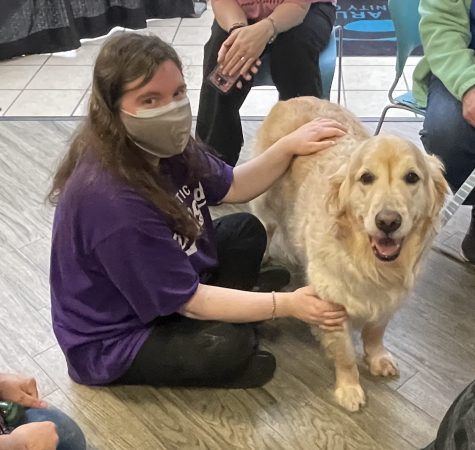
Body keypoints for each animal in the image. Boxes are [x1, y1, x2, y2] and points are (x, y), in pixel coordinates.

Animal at [255, 97, 448, 412]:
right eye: (366, 178)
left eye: (412, 177)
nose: (388, 222)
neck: (367, 262)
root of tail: (290, 99)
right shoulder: (332, 304)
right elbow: (345, 354)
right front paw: (349, 388)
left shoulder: (387, 301)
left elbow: (375, 332)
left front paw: (377, 357)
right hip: (267, 203)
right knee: (267, 227)